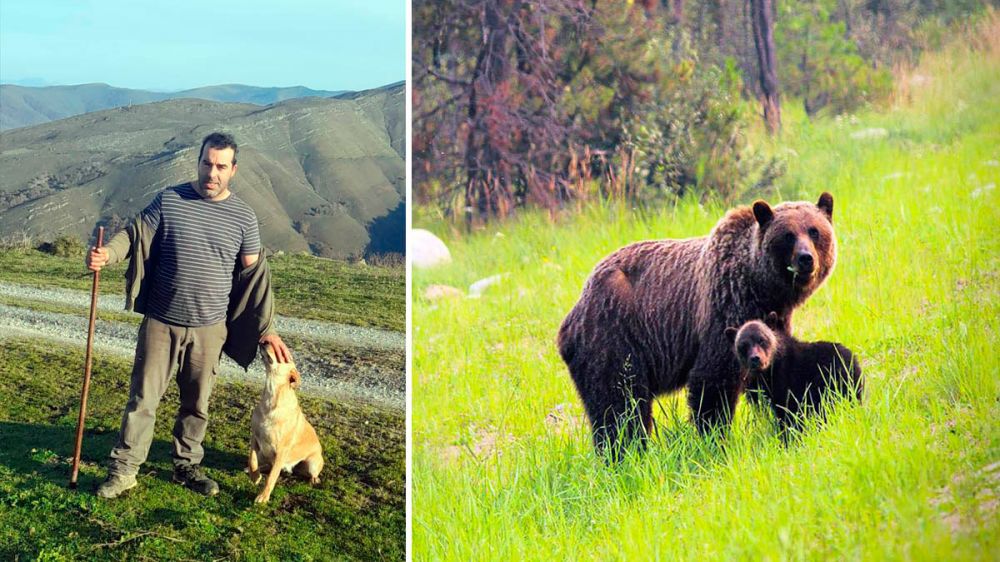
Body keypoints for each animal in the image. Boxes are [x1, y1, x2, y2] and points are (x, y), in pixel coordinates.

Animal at [564, 192, 836, 456]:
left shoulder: (773, 322)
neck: (761, 287)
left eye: (814, 231)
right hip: (615, 337)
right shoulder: (724, 308)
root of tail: (574, 310)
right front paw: (715, 440)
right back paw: (625, 453)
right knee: (620, 403)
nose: (806, 259)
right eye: (788, 235)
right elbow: (713, 381)